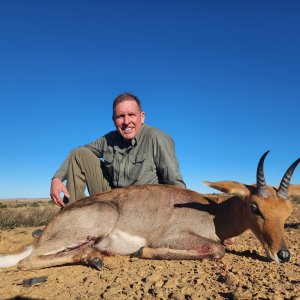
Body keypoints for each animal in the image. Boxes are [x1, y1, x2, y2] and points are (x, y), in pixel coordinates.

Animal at [0, 150, 298, 270]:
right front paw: (143, 251)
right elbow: (217, 249)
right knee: (26, 262)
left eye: (287, 212)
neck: (215, 214)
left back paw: (95, 257)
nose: (283, 254)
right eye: (255, 207)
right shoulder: (174, 237)